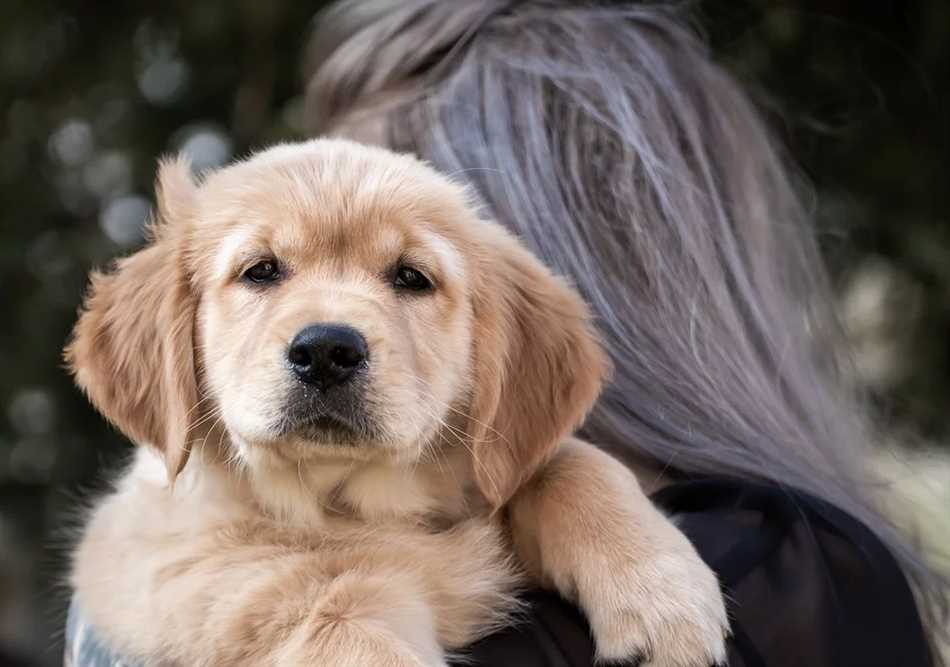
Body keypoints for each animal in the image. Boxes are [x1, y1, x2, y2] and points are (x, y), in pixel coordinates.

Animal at [67, 140, 732, 667]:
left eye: (412, 277)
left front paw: (661, 595)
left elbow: (572, 463)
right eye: (261, 271)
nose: (326, 349)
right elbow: (317, 599)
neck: (346, 505)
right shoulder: (172, 568)